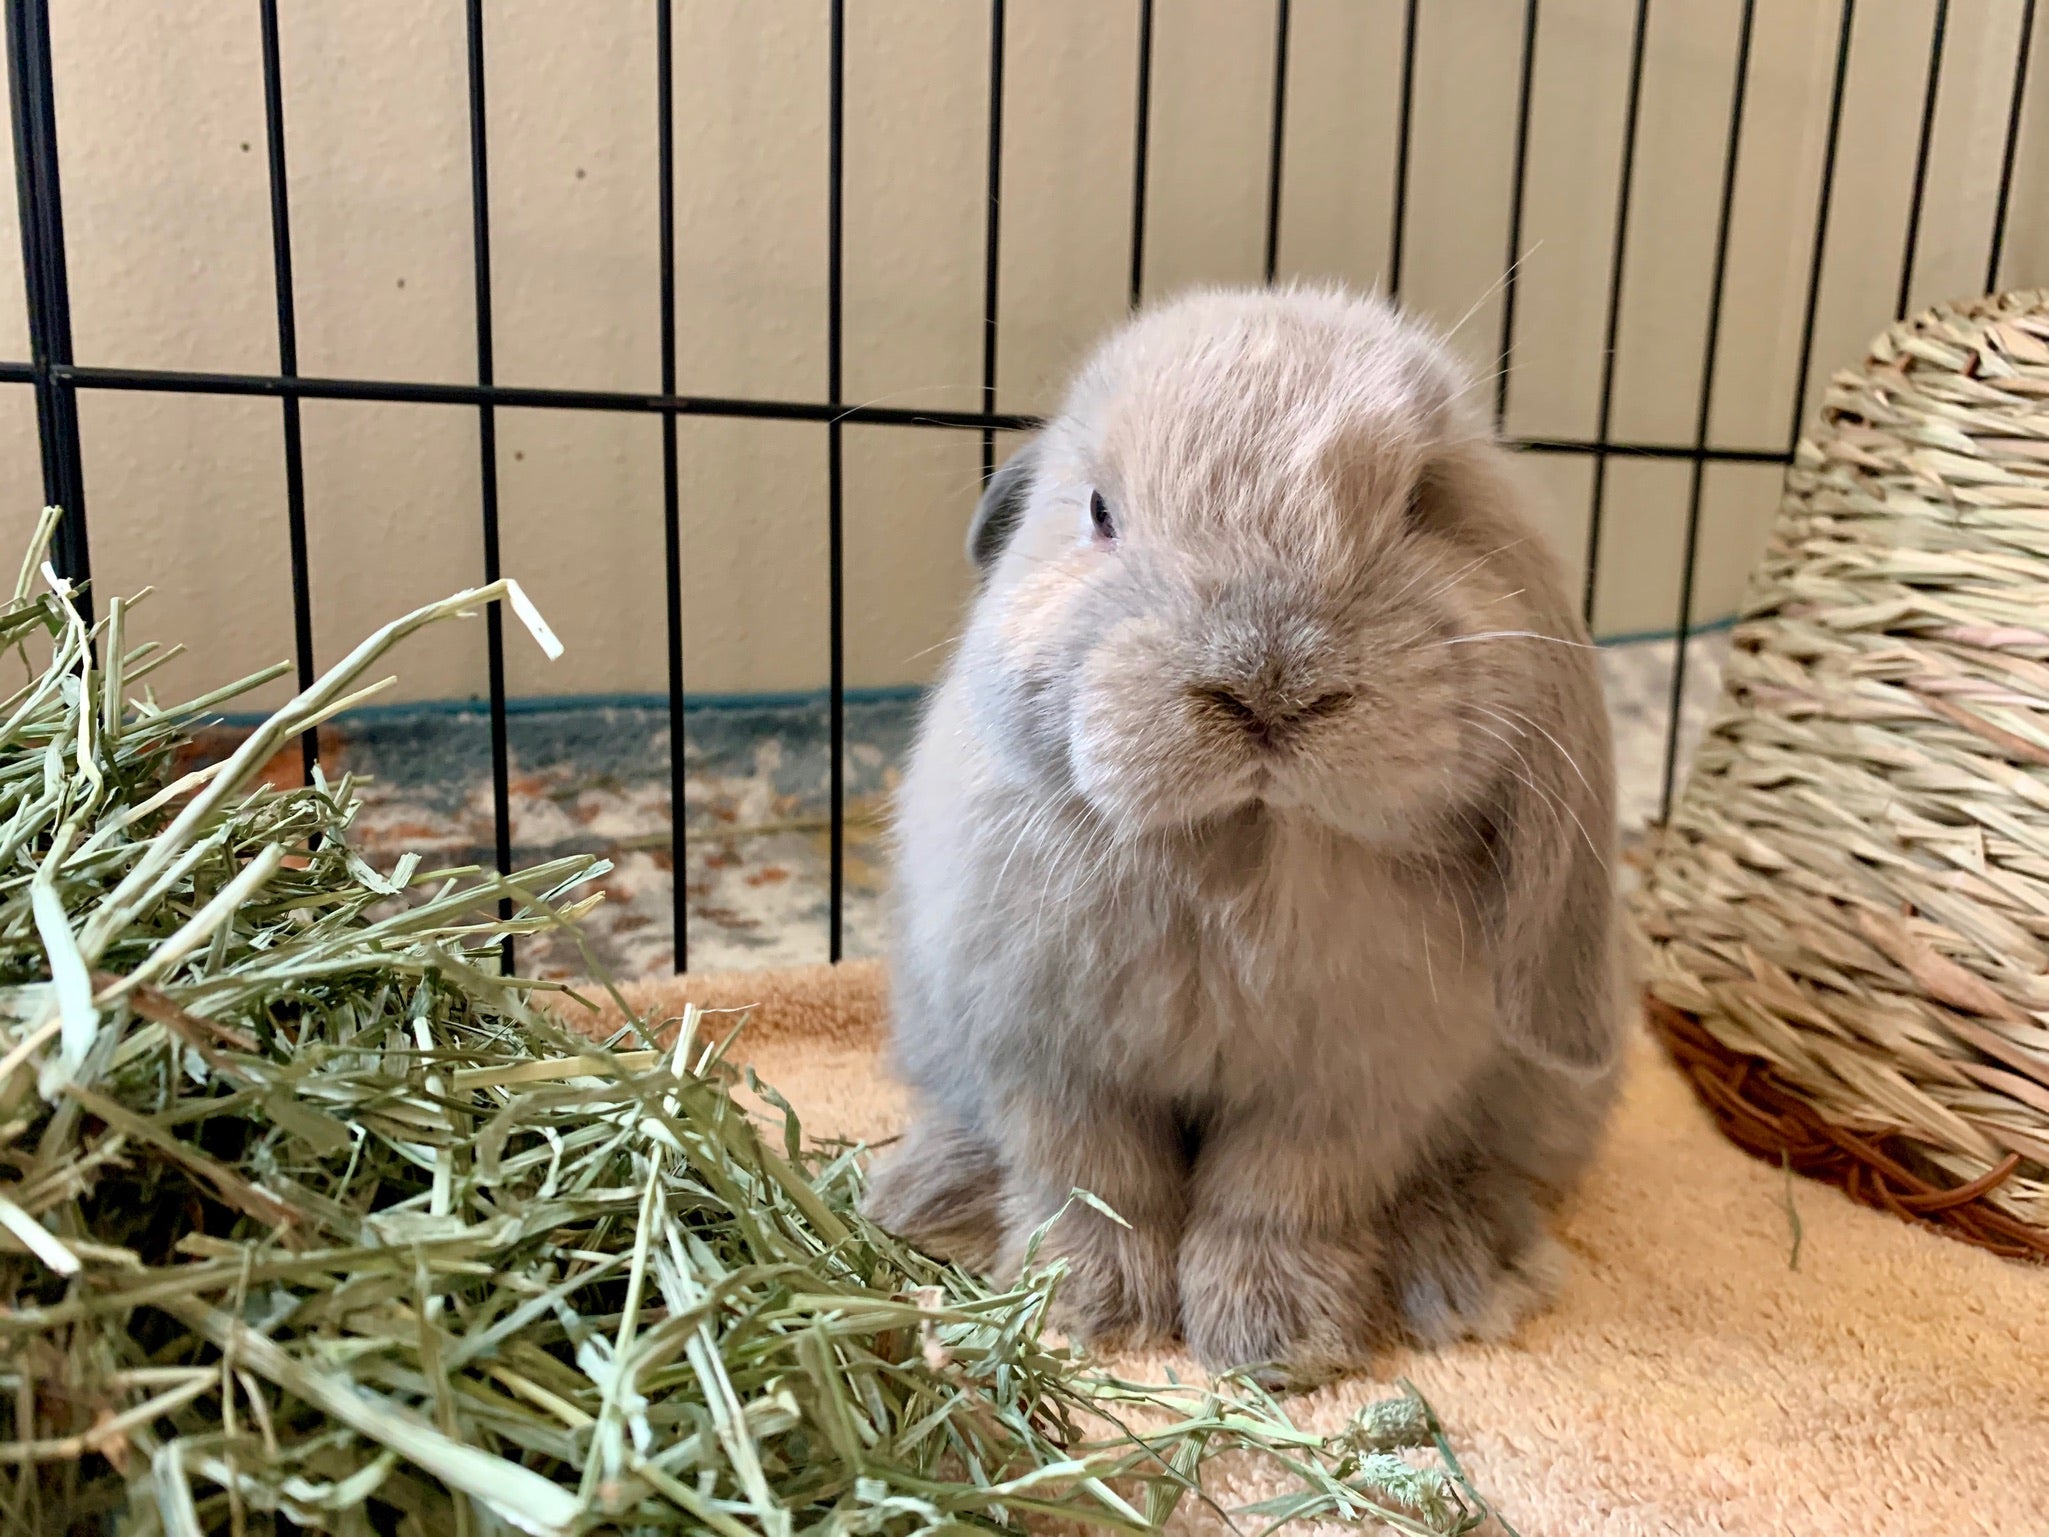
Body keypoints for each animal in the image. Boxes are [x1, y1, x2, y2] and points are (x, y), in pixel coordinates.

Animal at [862, 284, 1623, 1380]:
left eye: (1421, 503)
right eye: (1099, 511)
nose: (1268, 684)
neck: (1242, 846)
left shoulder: (1347, 1090)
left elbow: (1276, 1198)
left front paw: (1273, 1337)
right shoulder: (1050, 1058)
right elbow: (1094, 1181)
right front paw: (1092, 1311)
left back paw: (1466, 1265)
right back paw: (925, 1198)